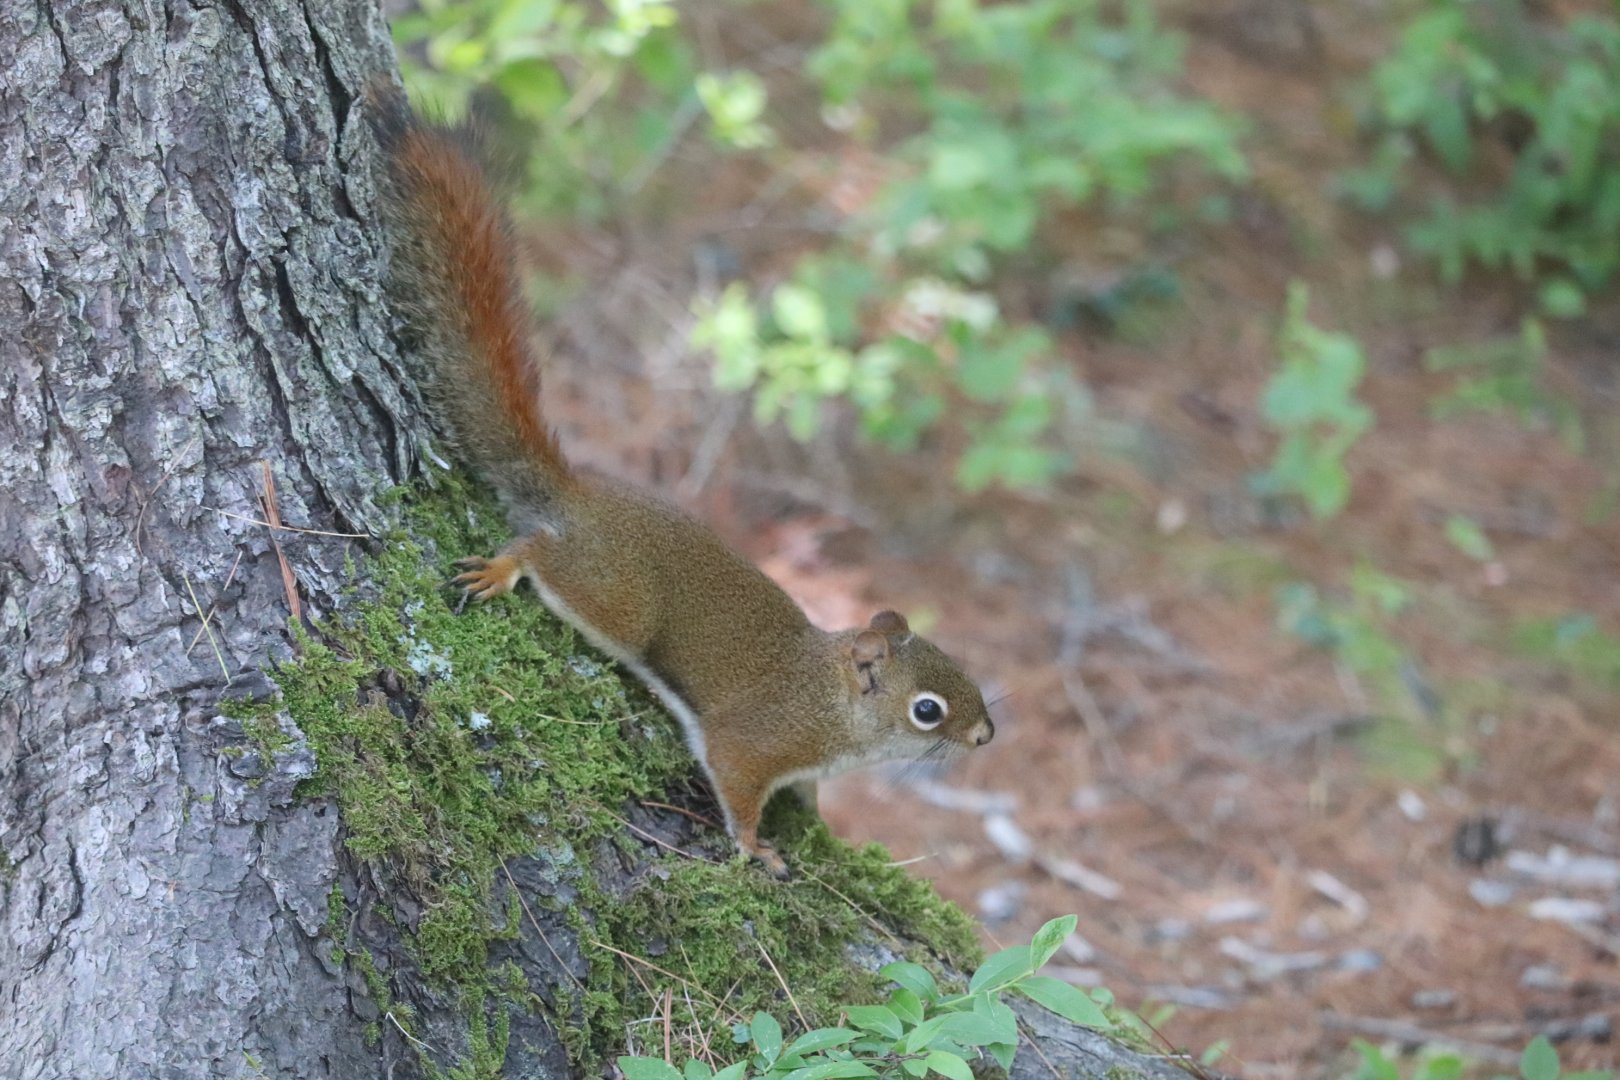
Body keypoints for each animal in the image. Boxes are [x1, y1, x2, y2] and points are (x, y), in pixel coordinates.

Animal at [370, 95, 995, 877]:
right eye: (928, 710)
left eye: (963, 670)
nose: (986, 736)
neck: (835, 705)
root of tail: (580, 494)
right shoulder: (758, 742)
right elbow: (737, 782)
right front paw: (758, 848)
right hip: (617, 598)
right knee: (545, 556)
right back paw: (505, 568)